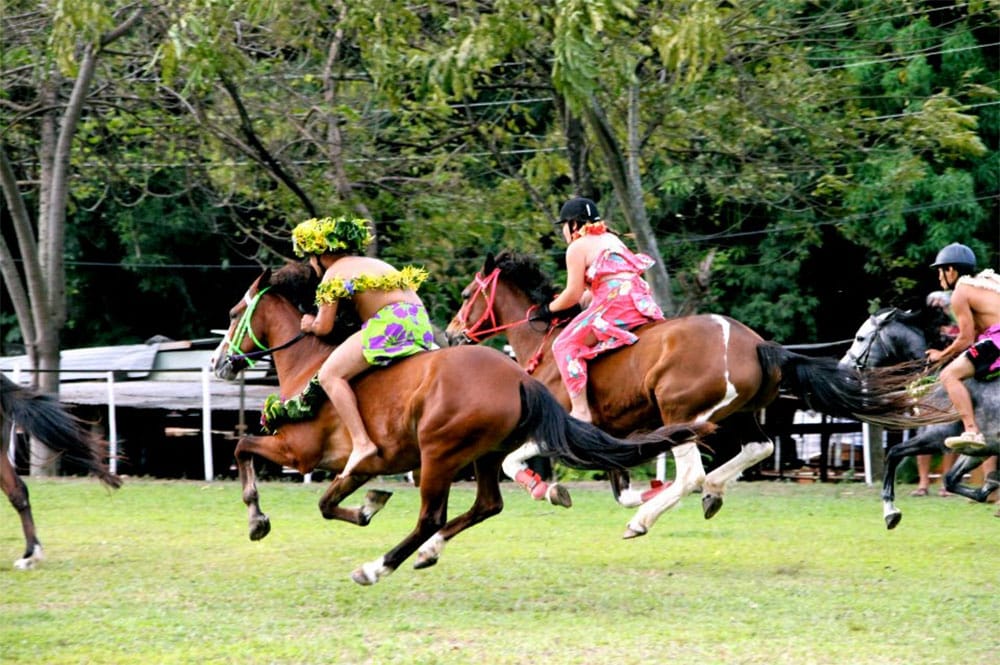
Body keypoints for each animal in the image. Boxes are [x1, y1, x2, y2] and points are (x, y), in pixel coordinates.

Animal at [207, 264, 708, 588]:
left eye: (232, 315)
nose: (217, 363)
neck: (307, 367)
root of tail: (518, 377)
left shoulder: (298, 452)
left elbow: (255, 456)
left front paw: (259, 519)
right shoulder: (353, 464)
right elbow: (330, 497)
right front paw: (369, 502)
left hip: (439, 453)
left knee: (432, 516)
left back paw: (376, 567)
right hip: (481, 454)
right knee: (486, 504)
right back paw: (424, 554)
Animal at [448, 252, 960, 536]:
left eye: (470, 294)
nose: (452, 333)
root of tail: (758, 343)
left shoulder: (563, 428)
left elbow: (516, 463)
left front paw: (549, 488)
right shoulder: (616, 436)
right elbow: (620, 486)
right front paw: (640, 492)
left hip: (683, 414)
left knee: (695, 473)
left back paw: (647, 520)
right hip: (735, 416)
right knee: (758, 448)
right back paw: (709, 493)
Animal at [840, 308, 996, 528]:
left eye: (860, 338)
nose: (842, 367)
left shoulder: (936, 438)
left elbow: (893, 453)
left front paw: (890, 511)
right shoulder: (979, 450)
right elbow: (951, 480)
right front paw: (990, 486)